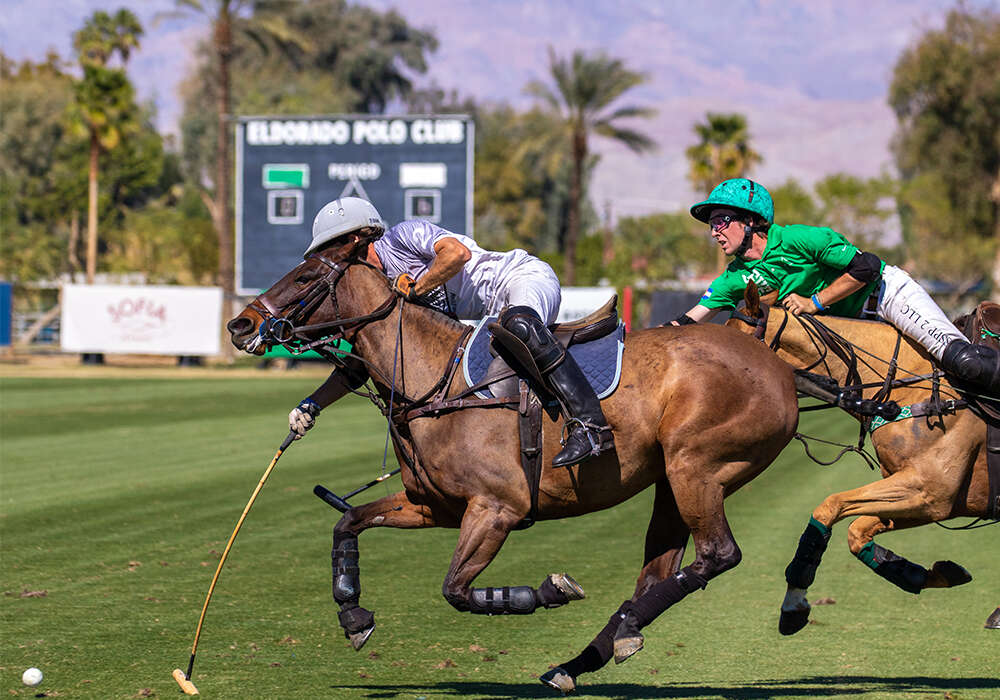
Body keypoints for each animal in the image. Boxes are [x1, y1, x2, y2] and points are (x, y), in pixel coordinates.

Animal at [227, 232, 796, 692]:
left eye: (305, 275)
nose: (240, 324)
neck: (434, 380)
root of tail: (767, 355)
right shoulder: (434, 506)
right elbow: (348, 520)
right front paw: (353, 616)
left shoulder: (497, 508)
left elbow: (456, 589)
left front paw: (550, 589)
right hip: (669, 483)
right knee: (660, 572)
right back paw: (595, 651)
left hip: (695, 467)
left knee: (719, 554)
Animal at [724, 284, 996, 636]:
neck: (912, 391)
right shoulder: (930, 499)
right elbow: (857, 531)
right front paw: (930, 574)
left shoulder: (931, 492)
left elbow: (830, 506)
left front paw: (793, 605)